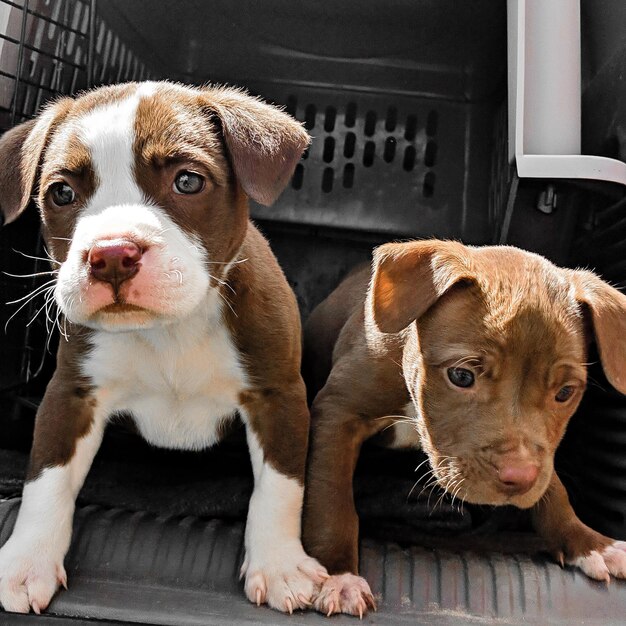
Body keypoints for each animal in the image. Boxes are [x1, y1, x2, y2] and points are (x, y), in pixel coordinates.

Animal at [0, 80, 326, 612]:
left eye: (188, 182)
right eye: (62, 192)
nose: (112, 254)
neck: (170, 327)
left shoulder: (278, 397)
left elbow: (280, 487)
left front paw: (280, 564)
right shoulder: (71, 395)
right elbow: (45, 478)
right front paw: (27, 561)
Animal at [302, 238, 624, 616]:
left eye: (565, 393)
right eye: (461, 376)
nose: (519, 477)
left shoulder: (540, 453)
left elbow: (553, 487)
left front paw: (588, 542)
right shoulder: (339, 411)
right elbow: (331, 497)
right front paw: (338, 575)